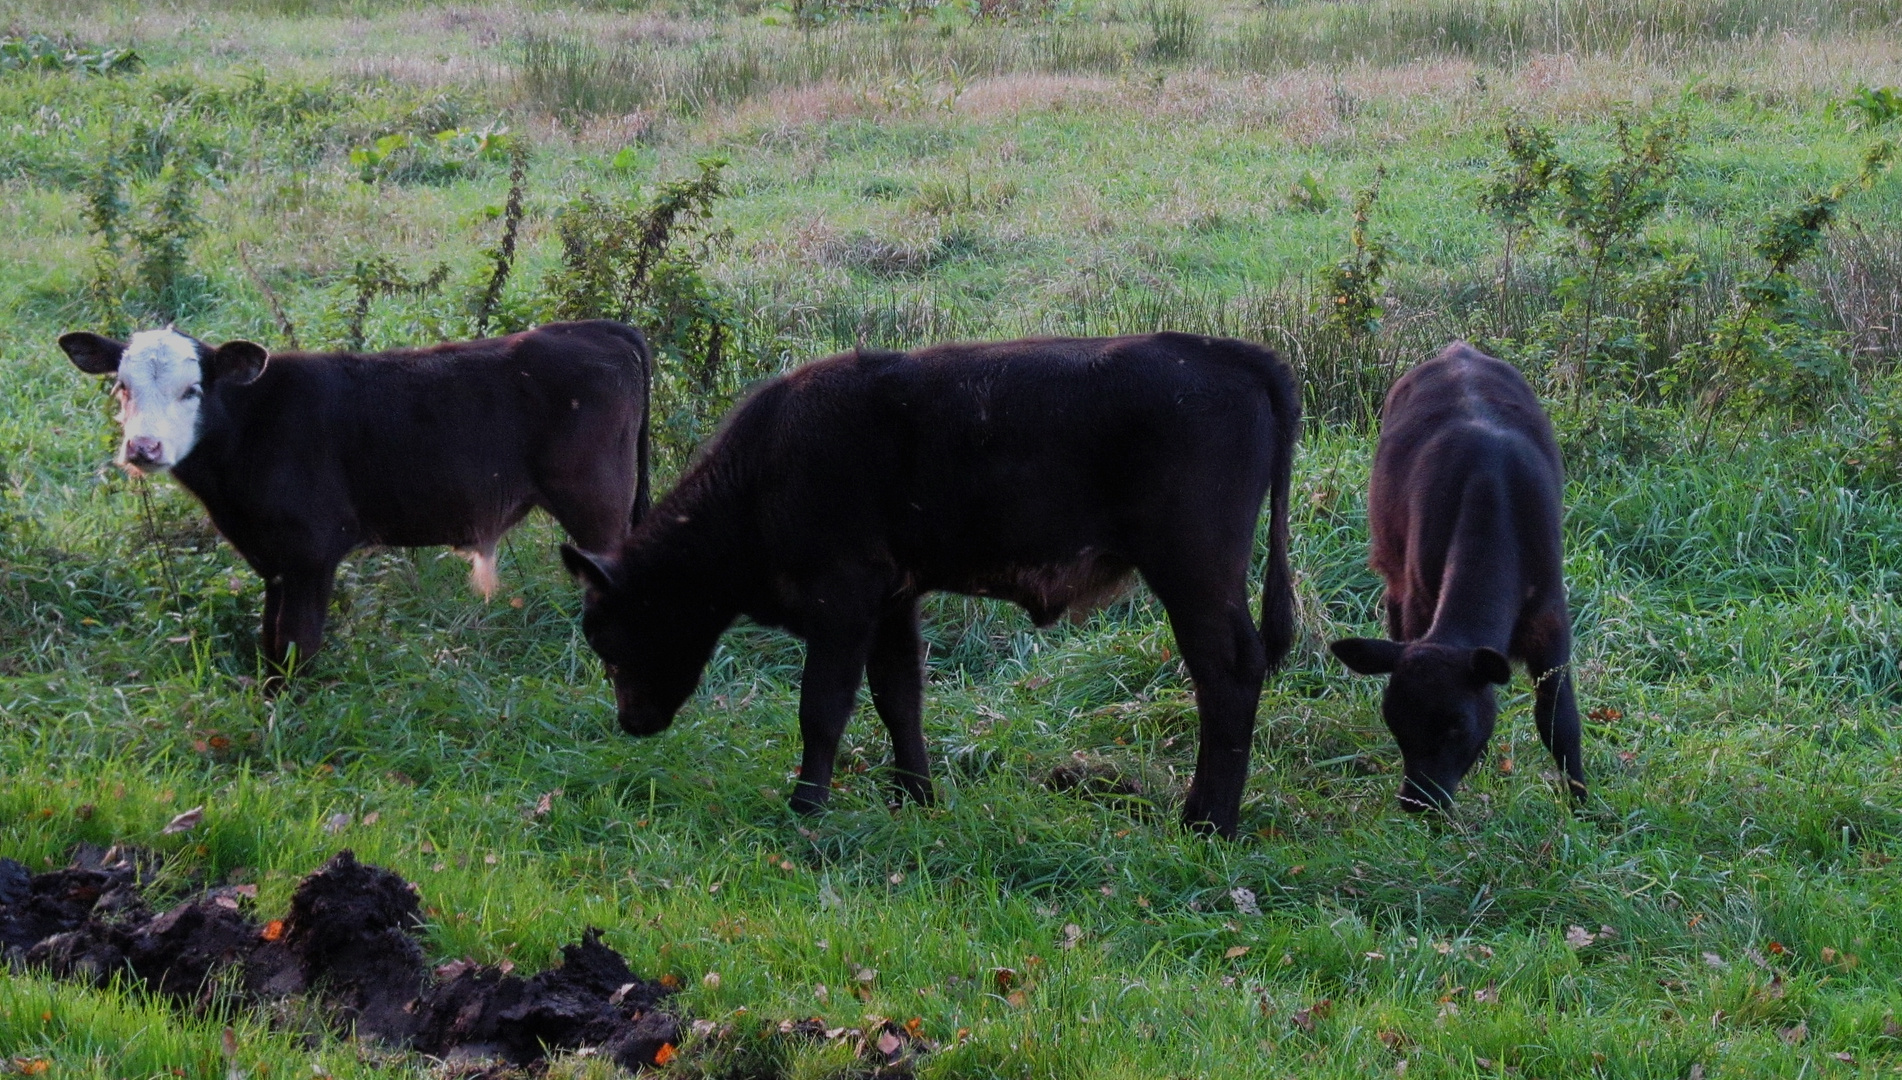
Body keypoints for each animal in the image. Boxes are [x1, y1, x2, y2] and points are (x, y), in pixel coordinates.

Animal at [59, 319, 654, 676]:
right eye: (122, 387)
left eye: (193, 390)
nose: (144, 447)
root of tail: (592, 328)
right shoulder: (276, 559)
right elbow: (271, 642)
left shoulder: (312, 549)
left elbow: (297, 643)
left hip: (594, 502)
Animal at [555, 332, 1300, 840]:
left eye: (610, 633)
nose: (632, 721)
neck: (762, 474)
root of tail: (1232, 354)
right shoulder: (893, 602)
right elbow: (898, 699)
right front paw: (916, 798)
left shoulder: (842, 600)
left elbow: (822, 707)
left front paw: (805, 808)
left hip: (1194, 573)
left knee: (1227, 674)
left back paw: (1208, 823)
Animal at [1331, 342, 1582, 806]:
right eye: (1394, 722)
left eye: (1457, 725)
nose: (1417, 801)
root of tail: (1458, 349)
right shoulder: (1418, 601)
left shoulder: (1551, 616)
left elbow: (1560, 720)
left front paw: (1583, 804)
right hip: (1393, 571)